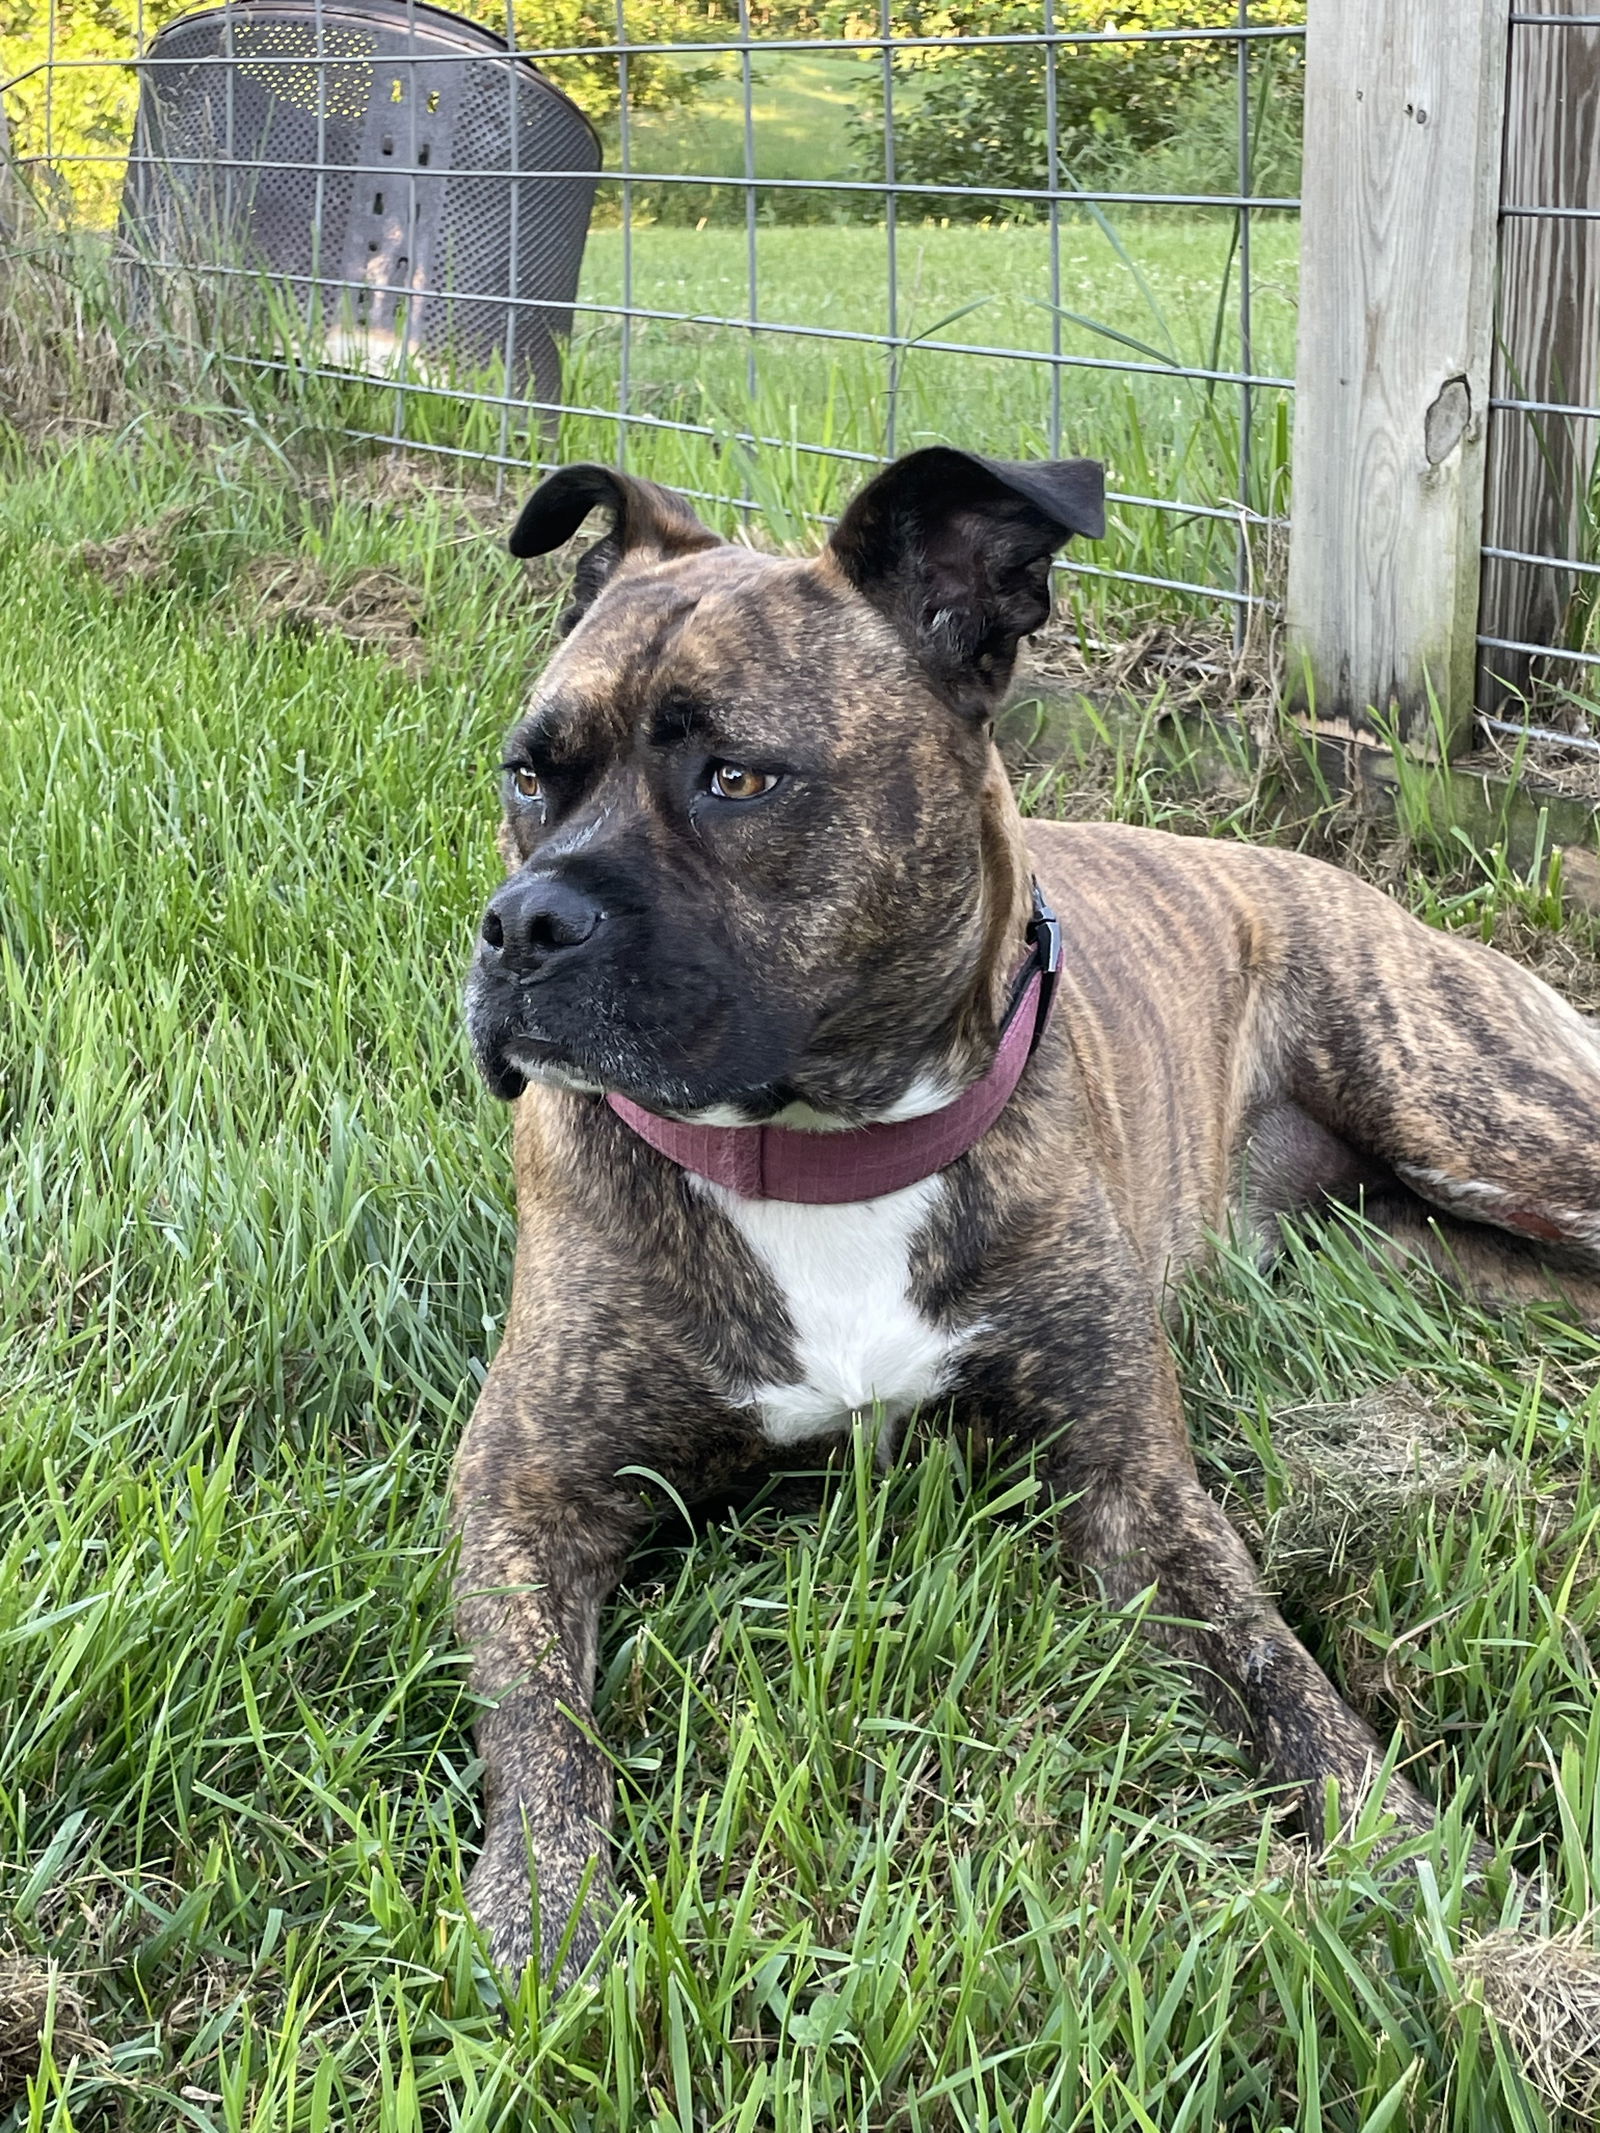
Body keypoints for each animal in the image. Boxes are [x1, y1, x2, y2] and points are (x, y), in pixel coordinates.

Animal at [456, 450, 1600, 1979]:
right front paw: (547, 1910)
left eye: (739, 778)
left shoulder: (1133, 1493)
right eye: (531, 773)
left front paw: (1419, 1860)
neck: (821, 1151)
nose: (522, 925)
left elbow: (1278, 1668)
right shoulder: (527, 1486)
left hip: (1467, 1108)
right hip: (1417, 1244)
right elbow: (539, 1722)